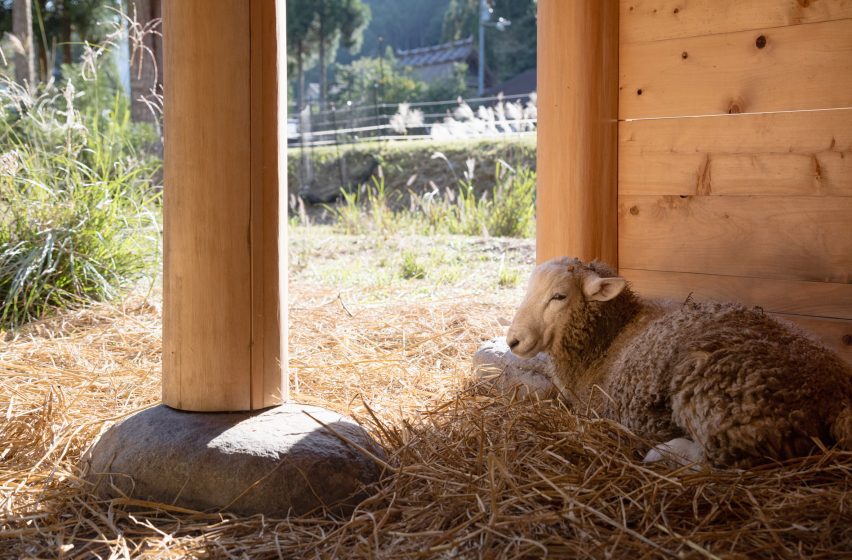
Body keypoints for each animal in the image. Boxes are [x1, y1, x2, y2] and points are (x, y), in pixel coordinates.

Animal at [505, 256, 852, 468]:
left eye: (559, 296)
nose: (513, 341)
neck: (610, 338)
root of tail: (833, 396)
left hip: (724, 401)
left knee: (717, 459)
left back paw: (662, 452)